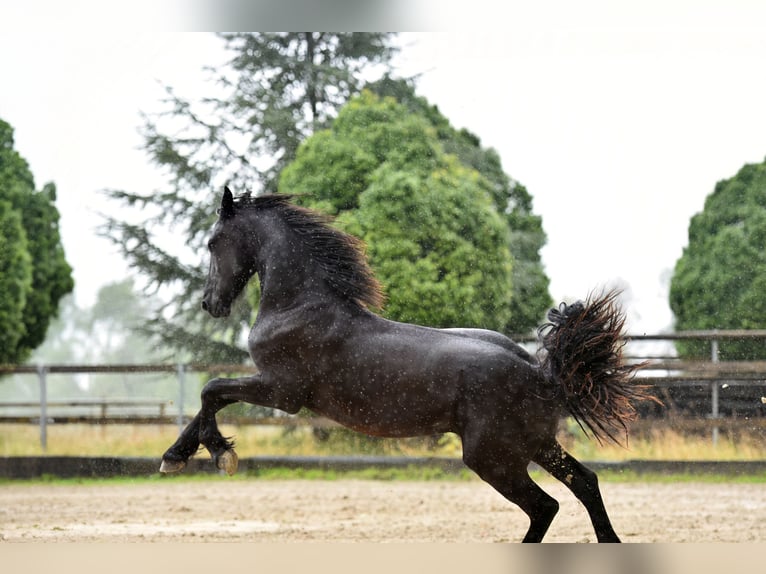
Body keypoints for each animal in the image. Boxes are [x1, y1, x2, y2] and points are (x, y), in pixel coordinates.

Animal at [159, 189, 656, 544]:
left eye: (212, 242)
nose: (210, 304)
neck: (301, 306)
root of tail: (543, 373)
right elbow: (207, 400)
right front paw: (175, 457)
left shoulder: (283, 391)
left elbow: (211, 390)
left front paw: (218, 455)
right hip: (534, 445)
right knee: (585, 483)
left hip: (493, 457)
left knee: (545, 506)